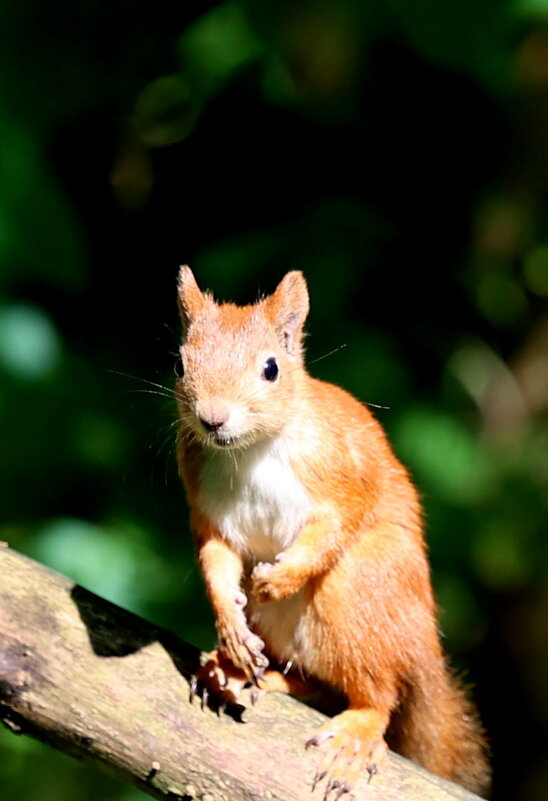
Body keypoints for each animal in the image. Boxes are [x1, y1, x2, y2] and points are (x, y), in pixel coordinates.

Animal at [174, 268, 488, 792]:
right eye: (180, 364)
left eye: (271, 369)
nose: (213, 419)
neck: (250, 452)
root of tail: (421, 652)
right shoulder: (208, 508)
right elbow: (215, 559)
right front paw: (230, 624)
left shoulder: (340, 471)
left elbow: (337, 526)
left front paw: (278, 578)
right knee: (318, 687)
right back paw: (237, 671)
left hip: (356, 593)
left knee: (376, 695)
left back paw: (356, 733)